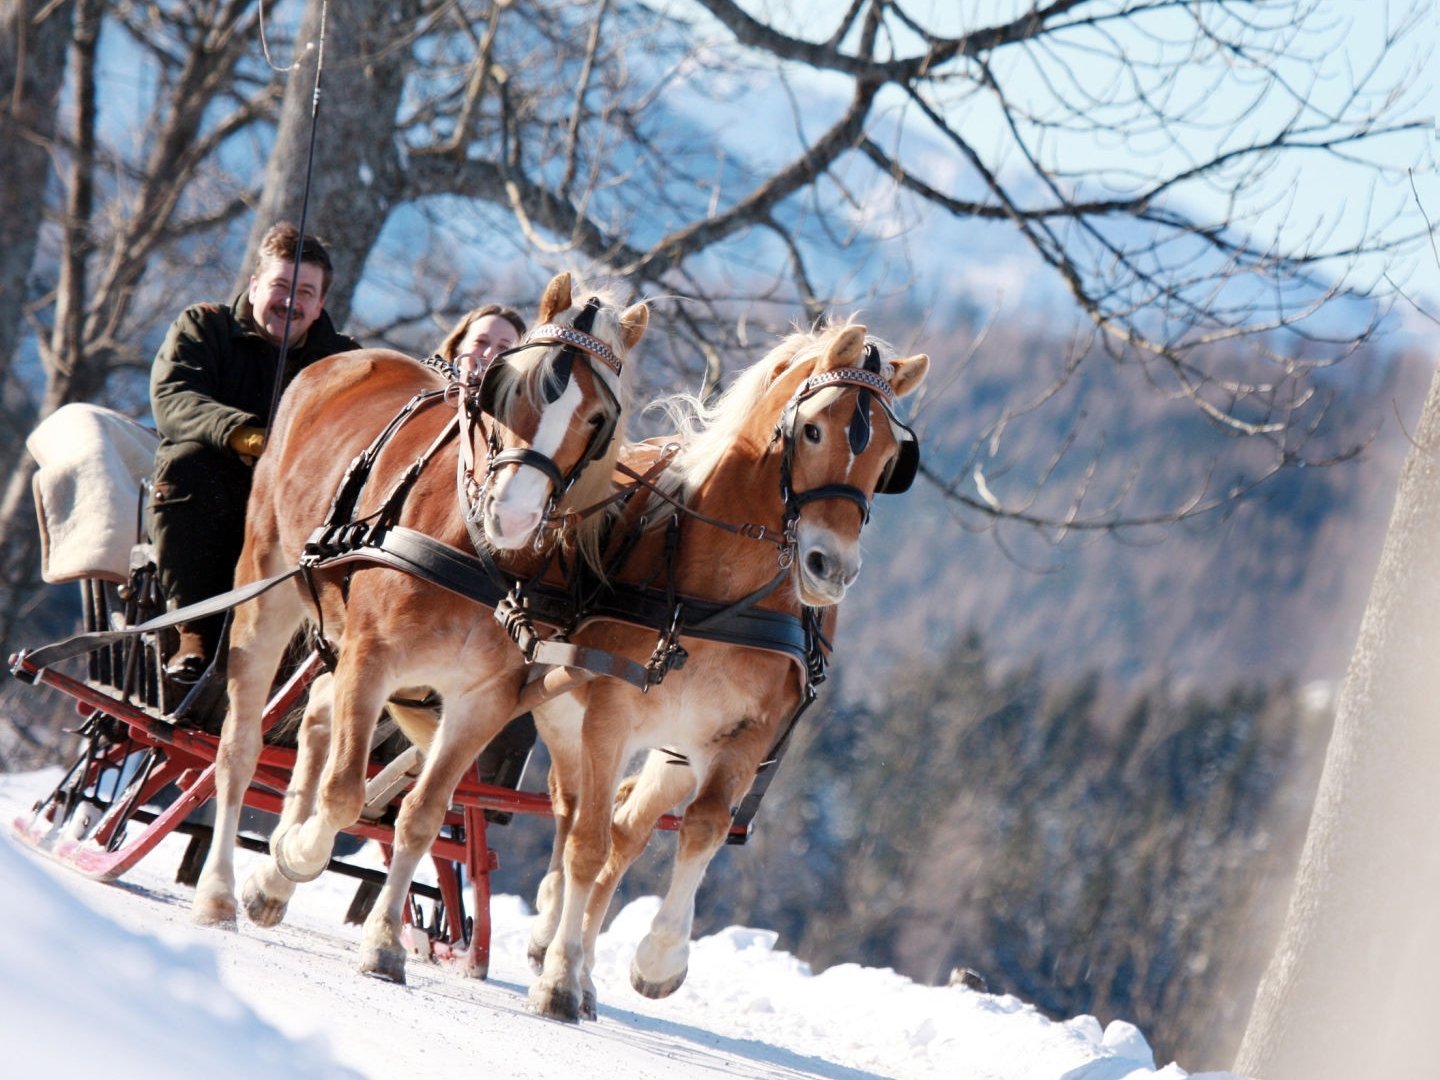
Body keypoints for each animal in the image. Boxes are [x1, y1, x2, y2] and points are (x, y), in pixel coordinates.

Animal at [188, 270, 650, 990]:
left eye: (599, 420)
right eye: (506, 387)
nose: (513, 515)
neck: (478, 558)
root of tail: (340, 362)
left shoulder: (482, 701)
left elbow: (422, 817)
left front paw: (381, 942)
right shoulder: (372, 659)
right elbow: (344, 795)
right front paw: (289, 859)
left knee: (315, 717)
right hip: (267, 584)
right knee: (241, 745)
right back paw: (218, 890)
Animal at [524, 321, 927, 1025]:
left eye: (888, 458)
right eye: (813, 429)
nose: (831, 569)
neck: (721, 588)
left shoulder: (745, 735)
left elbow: (703, 828)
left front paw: (658, 960)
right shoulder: (608, 713)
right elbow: (586, 843)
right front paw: (557, 979)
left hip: (676, 748)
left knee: (626, 829)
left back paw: (583, 969)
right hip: (563, 709)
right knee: (575, 814)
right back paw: (553, 942)